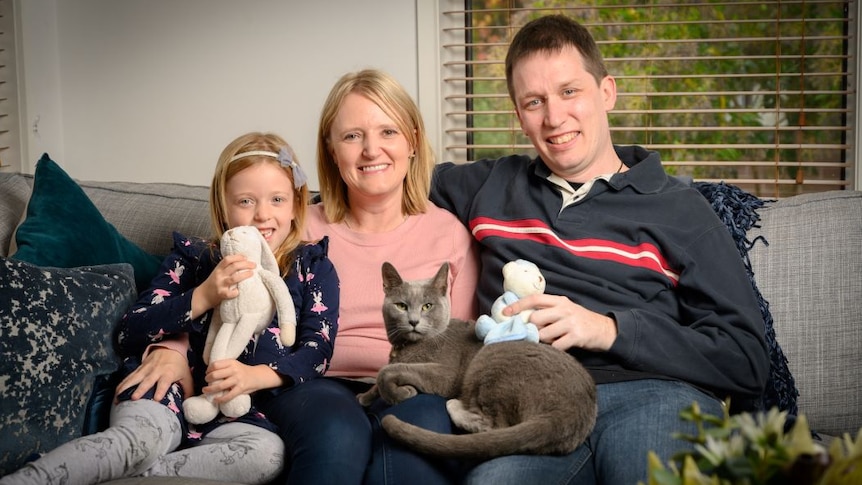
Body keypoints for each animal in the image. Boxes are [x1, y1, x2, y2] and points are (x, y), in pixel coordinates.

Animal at [360, 262, 600, 460]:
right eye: (401, 306)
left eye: (427, 306)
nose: (413, 321)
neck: (406, 347)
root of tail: (575, 409)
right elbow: (385, 371)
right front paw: (364, 397)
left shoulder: (446, 374)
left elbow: (388, 371)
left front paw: (400, 393)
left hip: (488, 360)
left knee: (492, 426)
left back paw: (455, 404)